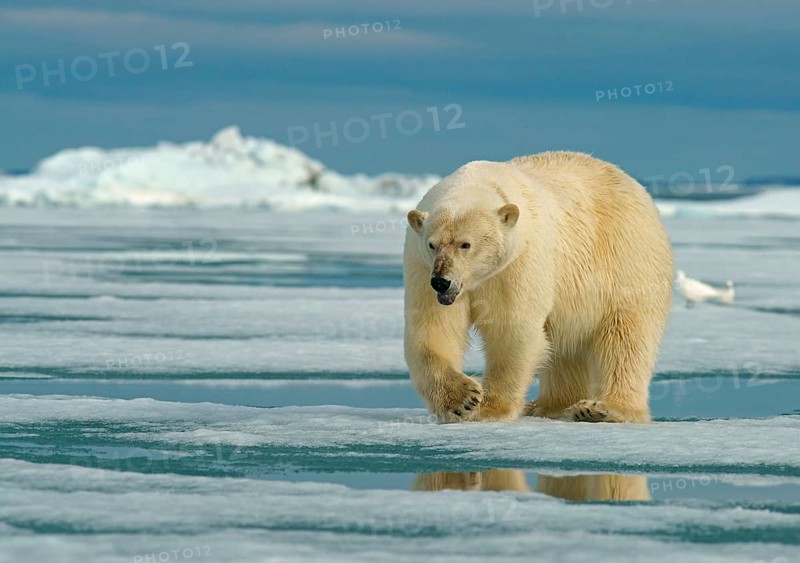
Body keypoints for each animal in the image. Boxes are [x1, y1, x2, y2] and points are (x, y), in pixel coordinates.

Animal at [403, 151, 673, 423]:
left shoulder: (518, 263)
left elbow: (512, 328)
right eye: (432, 244)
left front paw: (490, 409)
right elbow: (433, 328)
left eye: (465, 244)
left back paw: (604, 408)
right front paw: (461, 400)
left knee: (627, 338)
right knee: (567, 349)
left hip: (626, 261)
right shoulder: (421, 267)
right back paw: (549, 406)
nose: (441, 281)